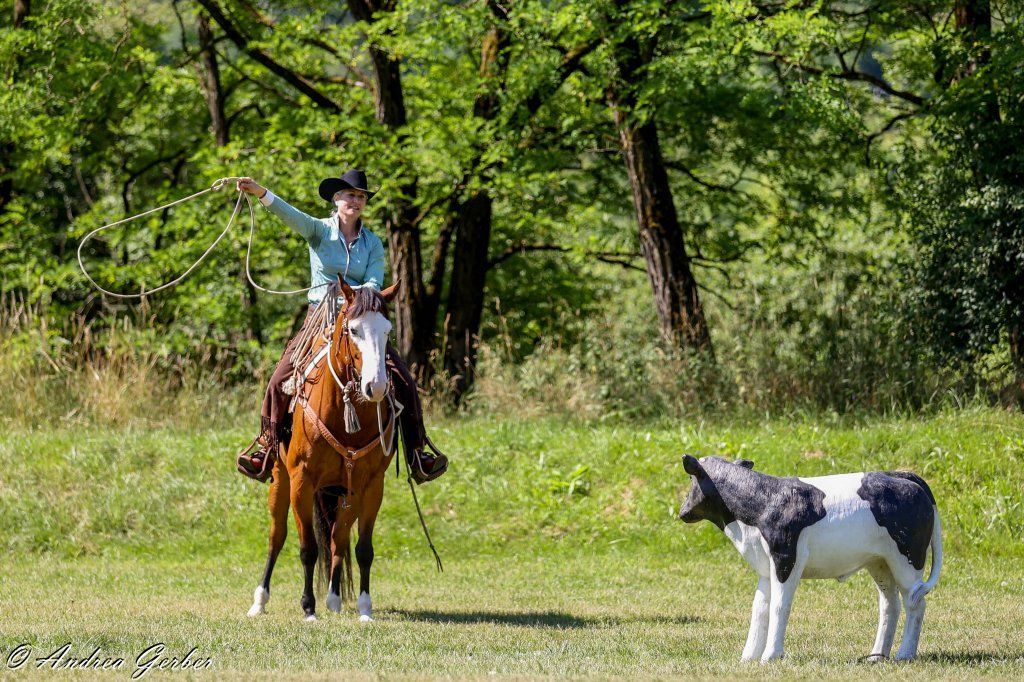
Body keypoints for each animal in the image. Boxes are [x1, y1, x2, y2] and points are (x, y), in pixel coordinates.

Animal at [246, 280, 400, 622]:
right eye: (353, 329)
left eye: (387, 330)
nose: (376, 387)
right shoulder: (301, 481)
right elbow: (307, 548)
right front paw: (308, 608)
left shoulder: (371, 485)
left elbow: (362, 549)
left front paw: (365, 609)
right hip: (281, 479)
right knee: (277, 537)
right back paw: (259, 601)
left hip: (343, 492)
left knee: (337, 539)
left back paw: (333, 598)